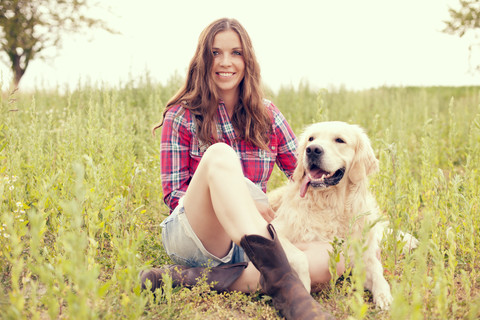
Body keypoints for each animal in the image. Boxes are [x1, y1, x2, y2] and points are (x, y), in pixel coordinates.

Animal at [270, 120, 416, 310]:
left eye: (339, 140)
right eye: (311, 139)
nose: (312, 150)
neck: (330, 204)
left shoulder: (361, 255)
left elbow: (377, 271)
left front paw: (384, 296)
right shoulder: (275, 230)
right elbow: (299, 257)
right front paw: (303, 287)